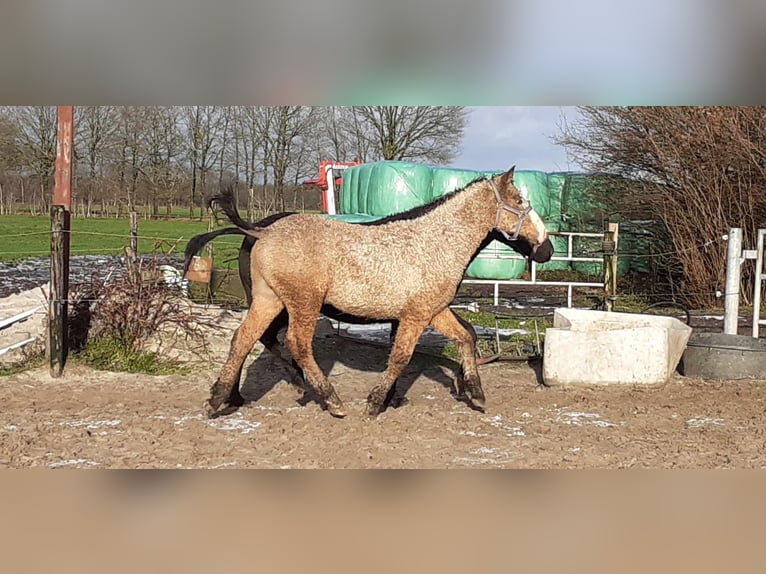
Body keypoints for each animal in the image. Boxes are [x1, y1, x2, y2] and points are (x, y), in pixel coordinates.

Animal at [205, 166, 553, 418]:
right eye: (520, 202)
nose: (547, 249)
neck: (435, 242)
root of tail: (262, 230)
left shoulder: (434, 310)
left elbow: (465, 337)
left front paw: (476, 395)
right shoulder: (414, 316)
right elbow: (400, 356)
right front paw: (376, 402)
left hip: (269, 300)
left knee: (243, 338)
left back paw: (220, 398)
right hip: (303, 302)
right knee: (296, 344)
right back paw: (329, 399)